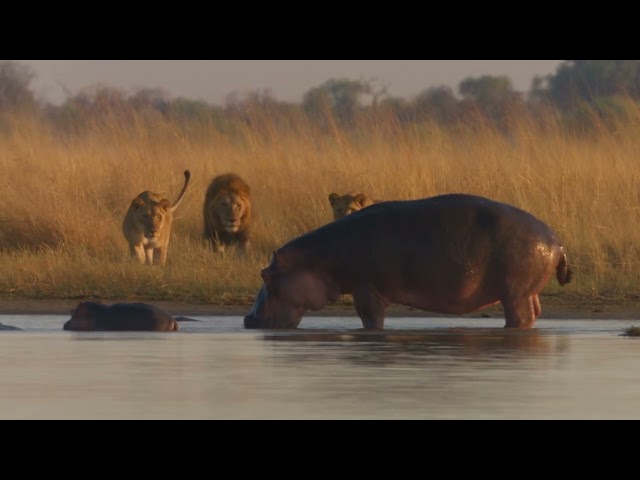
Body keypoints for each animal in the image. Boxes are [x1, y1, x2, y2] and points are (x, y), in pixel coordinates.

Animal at [244, 193, 573, 330]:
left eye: (265, 276)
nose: (247, 319)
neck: (317, 259)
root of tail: (556, 241)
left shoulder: (367, 288)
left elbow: (370, 317)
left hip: (514, 294)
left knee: (521, 317)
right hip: (526, 292)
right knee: (534, 313)